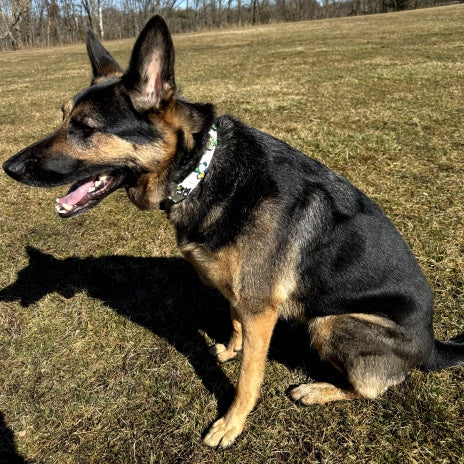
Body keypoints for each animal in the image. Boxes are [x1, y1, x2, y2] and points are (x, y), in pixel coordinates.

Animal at [3, 15, 464, 450]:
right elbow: (233, 322)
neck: (201, 172)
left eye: (85, 127)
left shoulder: (261, 310)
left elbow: (248, 377)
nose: (9, 167)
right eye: (64, 118)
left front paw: (231, 424)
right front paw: (228, 349)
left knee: (372, 388)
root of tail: (431, 344)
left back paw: (318, 389)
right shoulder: (238, 296)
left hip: (332, 324)